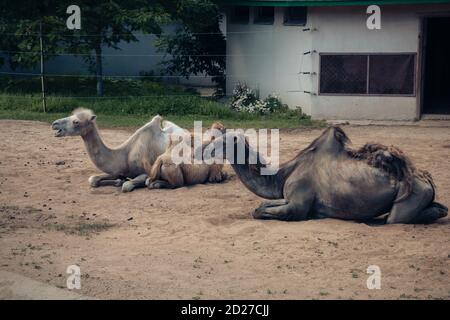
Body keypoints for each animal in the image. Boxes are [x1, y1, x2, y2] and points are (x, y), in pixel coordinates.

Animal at [52, 107, 186, 192]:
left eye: (76, 121)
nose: (54, 124)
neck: (124, 156)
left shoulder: (146, 172)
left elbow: (126, 186)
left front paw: (122, 182)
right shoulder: (117, 170)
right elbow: (92, 179)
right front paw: (118, 180)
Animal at [213, 126, 448, 224]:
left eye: (223, 141)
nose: (206, 150)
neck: (283, 174)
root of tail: (427, 179)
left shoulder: (297, 204)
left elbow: (262, 211)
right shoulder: (290, 197)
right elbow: (261, 206)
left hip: (411, 195)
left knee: (395, 218)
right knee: (439, 208)